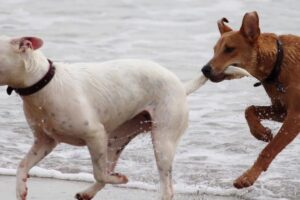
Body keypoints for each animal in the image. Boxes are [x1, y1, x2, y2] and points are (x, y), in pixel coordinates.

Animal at [0, 36, 248, 200]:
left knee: (166, 187)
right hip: (116, 139)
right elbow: (22, 166)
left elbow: (100, 172)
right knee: (108, 168)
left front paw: (120, 180)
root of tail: (180, 86)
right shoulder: (44, 142)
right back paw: (87, 193)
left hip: (162, 142)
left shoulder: (95, 134)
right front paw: (20, 190)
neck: (43, 82)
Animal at [202, 11, 300, 189]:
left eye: (229, 49)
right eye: (214, 50)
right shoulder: (282, 110)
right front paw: (261, 132)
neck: (278, 63)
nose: (204, 69)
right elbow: (249, 109)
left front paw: (247, 177)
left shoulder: (295, 117)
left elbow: (269, 149)